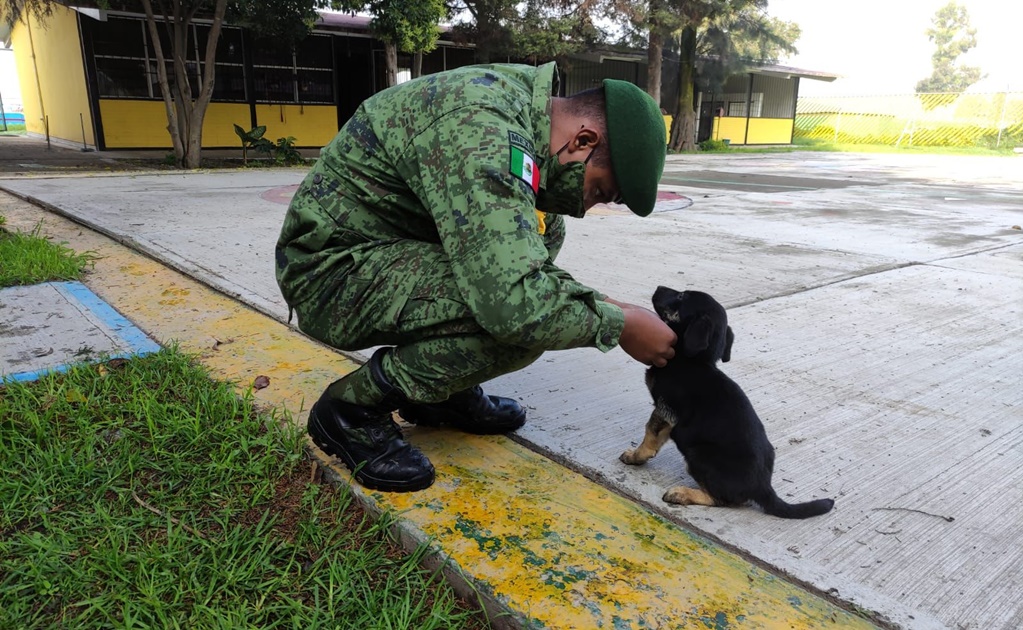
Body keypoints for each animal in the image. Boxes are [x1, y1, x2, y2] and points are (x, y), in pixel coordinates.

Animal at [621, 288, 830, 519]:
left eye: (682, 296)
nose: (658, 287)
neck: (692, 361)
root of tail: (763, 487)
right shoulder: (669, 418)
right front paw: (638, 457)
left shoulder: (665, 409)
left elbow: (650, 434)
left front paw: (637, 455)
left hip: (697, 454)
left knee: (721, 499)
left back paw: (683, 493)